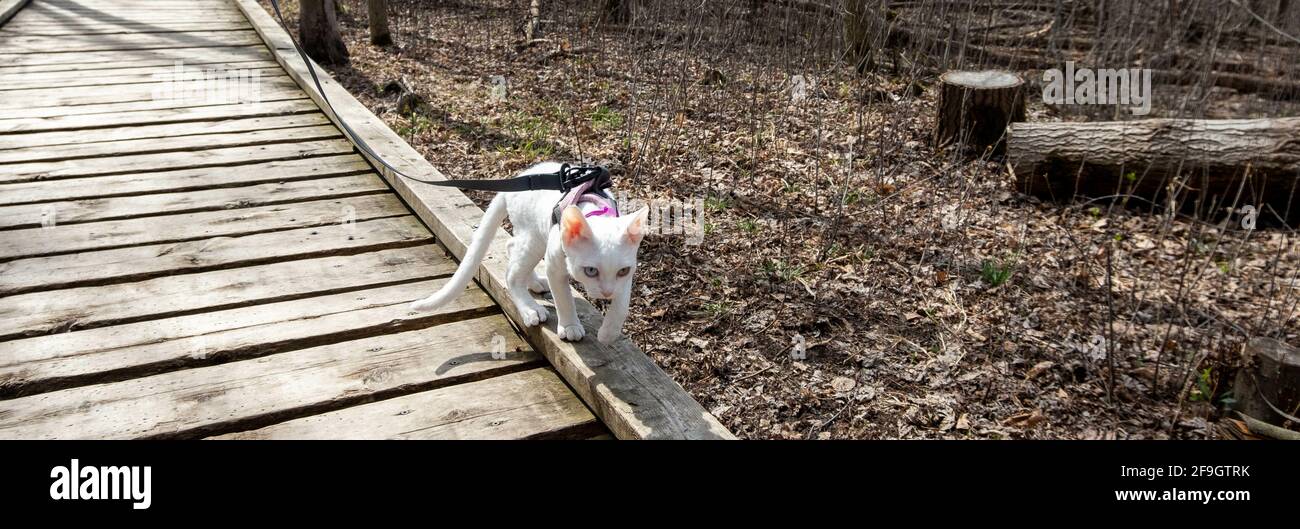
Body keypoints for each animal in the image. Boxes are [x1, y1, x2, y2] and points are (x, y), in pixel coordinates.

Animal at [408, 161, 647, 345]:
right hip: (535, 238)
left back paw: (534, 282)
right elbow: (563, 299)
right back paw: (531, 310)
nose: (607, 293)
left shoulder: (627, 275)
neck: (595, 210)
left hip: (534, 236)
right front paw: (570, 326)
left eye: (622, 271)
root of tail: (519, 179)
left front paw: (609, 333)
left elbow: (622, 305)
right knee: (512, 274)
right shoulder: (555, 265)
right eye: (590, 271)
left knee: (511, 246)